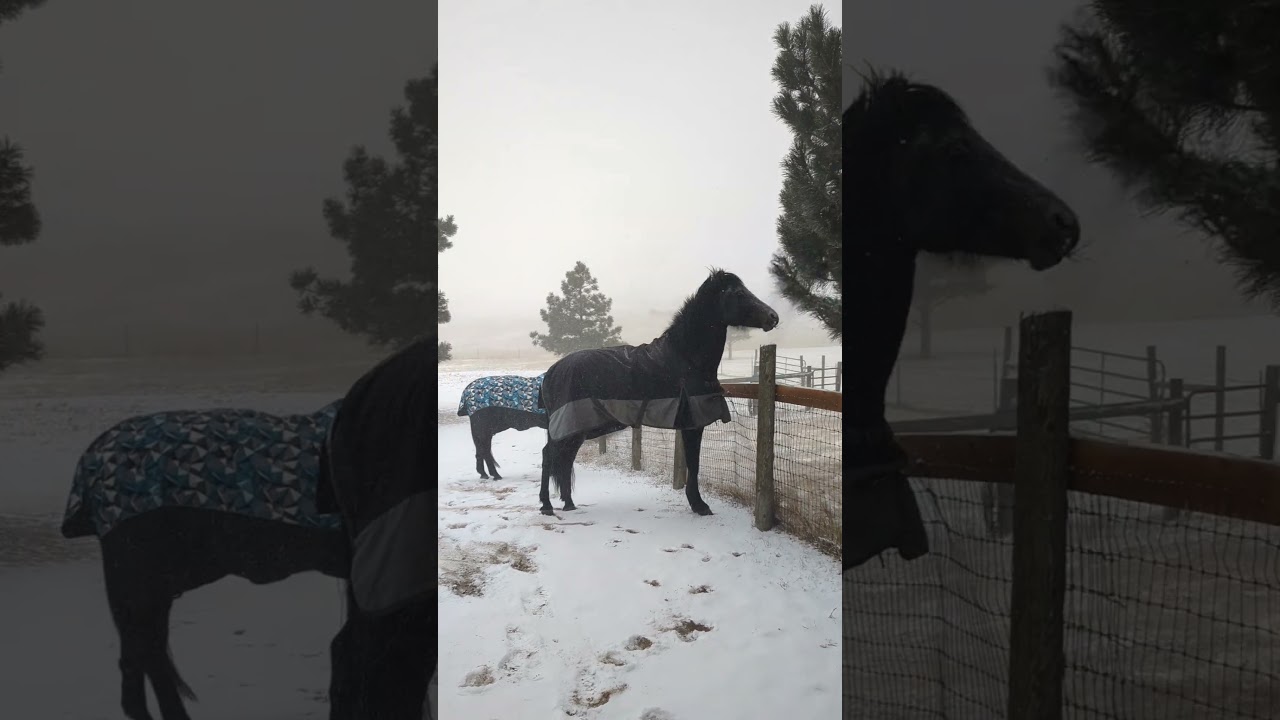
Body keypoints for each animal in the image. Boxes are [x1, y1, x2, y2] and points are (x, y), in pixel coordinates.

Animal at [536, 268, 779, 517]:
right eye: (739, 293)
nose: (773, 317)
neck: (686, 357)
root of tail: (551, 372)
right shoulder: (694, 424)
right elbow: (694, 463)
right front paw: (699, 505)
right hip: (570, 426)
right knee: (550, 455)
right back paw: (547, 505)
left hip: (574, 429)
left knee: (563, 458)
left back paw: (568, 502)